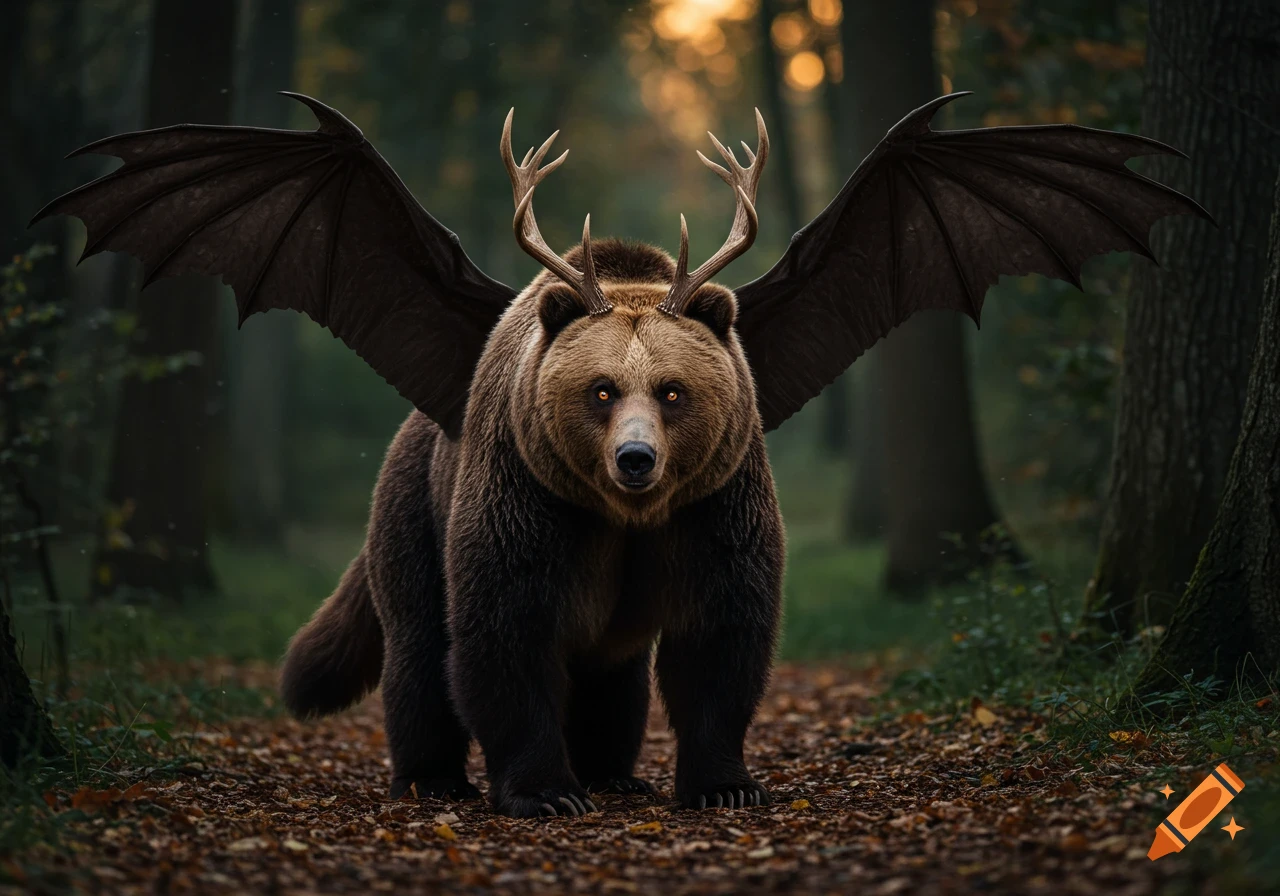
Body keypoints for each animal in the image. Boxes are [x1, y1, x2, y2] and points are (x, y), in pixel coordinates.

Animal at [280, 238, 785, 817]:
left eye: (672, 391)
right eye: (602, 390)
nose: (636, 458)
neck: (623, 513)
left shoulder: (715, 502)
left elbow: (720, 634)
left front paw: (727, 785)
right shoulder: (525, 494)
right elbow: (508, 630)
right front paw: (547, 793)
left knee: (614, 673)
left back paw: (612, 774)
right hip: (416, 511)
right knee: (419, 648)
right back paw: (432, 778)